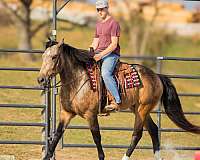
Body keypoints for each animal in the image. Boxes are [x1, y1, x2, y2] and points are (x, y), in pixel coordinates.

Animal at [38, 39, 200, 160]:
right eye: (43, 56)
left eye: (54, 57)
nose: (41, 79)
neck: (79, 80)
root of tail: (157, 76)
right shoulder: (66, 114)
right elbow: (56, 137)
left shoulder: (91, 115)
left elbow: (97, 137)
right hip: (138, 109)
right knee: (153, 130)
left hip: (142, 109)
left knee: (137, 134)